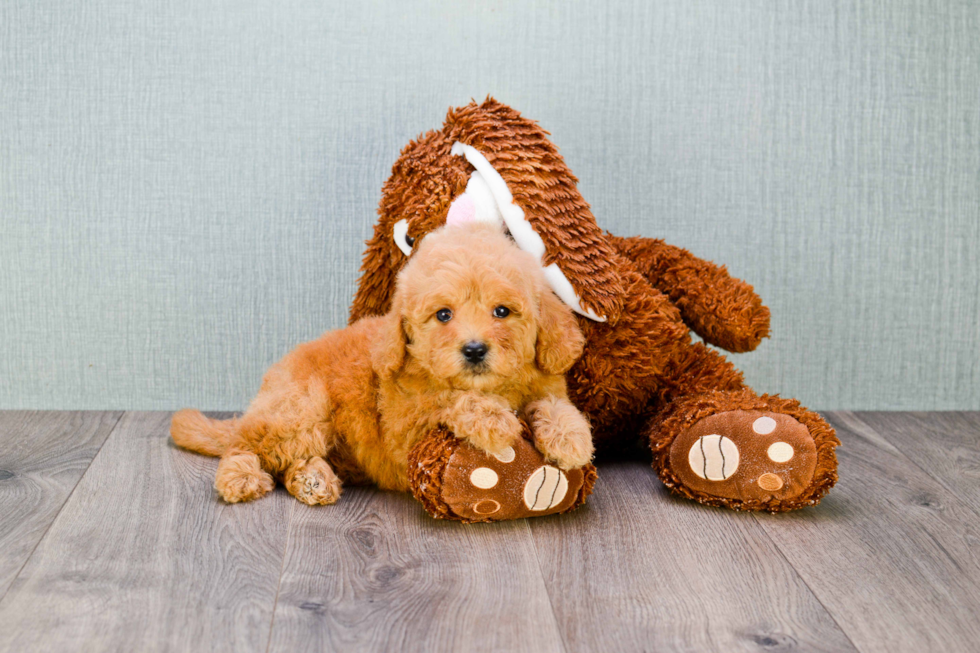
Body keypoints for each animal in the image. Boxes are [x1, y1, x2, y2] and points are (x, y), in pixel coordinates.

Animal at [170, 223, 588, 504]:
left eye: (502, 311)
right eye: (443, 315)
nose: (473, 349)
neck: (492, 386)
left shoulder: (546, 382)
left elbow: (552, 403)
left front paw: (570, 435)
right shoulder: (405, 431)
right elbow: (445, 399)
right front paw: (492, 418)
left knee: (291, 457)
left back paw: (312, 480)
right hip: (301, 407)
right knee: (243, 444)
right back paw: (240, 478)